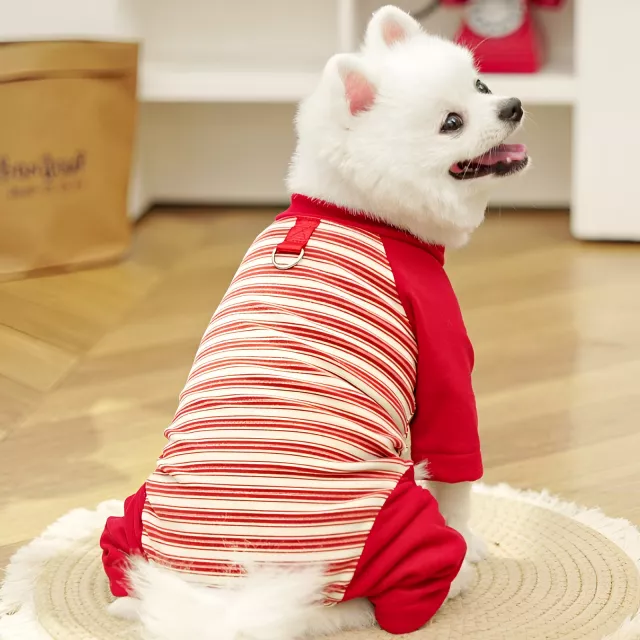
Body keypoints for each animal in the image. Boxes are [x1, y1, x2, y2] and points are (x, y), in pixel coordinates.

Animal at [101, 6, 528, 639]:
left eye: (480, 86)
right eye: (451, 123)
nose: (513, 106)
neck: (355, 211)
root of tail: (231, 592)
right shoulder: (444, 360)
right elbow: (456, 478)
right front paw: (472, 540)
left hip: (136, 515)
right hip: (393, 520)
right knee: (395, 592)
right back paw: (452, 579)